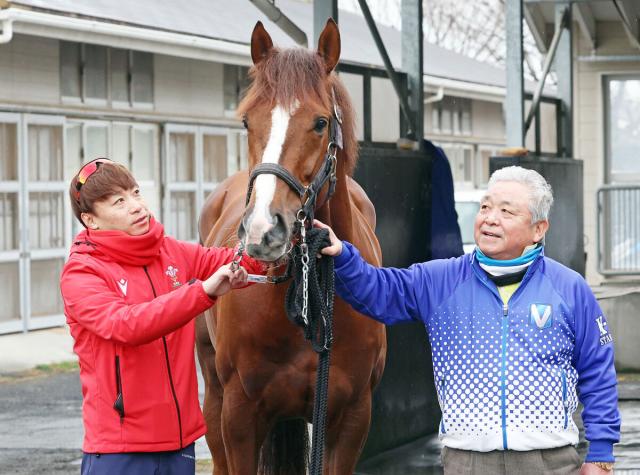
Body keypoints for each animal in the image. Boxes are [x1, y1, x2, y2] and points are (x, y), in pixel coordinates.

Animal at [194, 19, 384, 475]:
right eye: (247, 122)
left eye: (319, 122)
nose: (264, 230)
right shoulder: (240, 416)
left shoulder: (351, 418)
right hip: (214, 397)